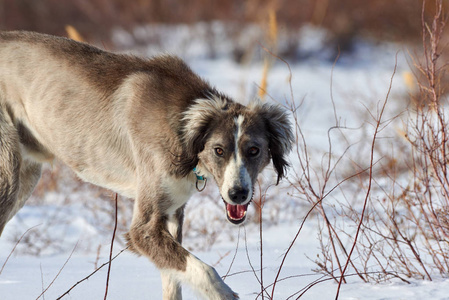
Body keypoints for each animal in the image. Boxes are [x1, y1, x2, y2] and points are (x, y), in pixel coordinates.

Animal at [0, 31, 292, 300]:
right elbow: (206, 272)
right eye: (218, 150)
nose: (238, 194)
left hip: (26, 176)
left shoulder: (172, 213)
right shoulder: (144, 229)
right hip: (9, 179)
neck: (182, 130)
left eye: (254, 150)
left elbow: (173, 281)